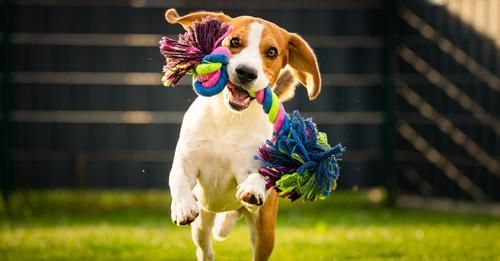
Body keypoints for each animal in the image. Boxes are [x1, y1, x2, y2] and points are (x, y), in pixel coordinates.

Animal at [166, 8, 322, 260]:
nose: (246, 72)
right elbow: (178, 178)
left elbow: (260, 175)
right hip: (202, 223)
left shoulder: (254, 168)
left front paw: (253, 188)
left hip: (265, 232)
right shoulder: (187, 161)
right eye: (234, 42)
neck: (229, 119)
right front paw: (182, 207)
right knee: (204, 246)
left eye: (271, 52)